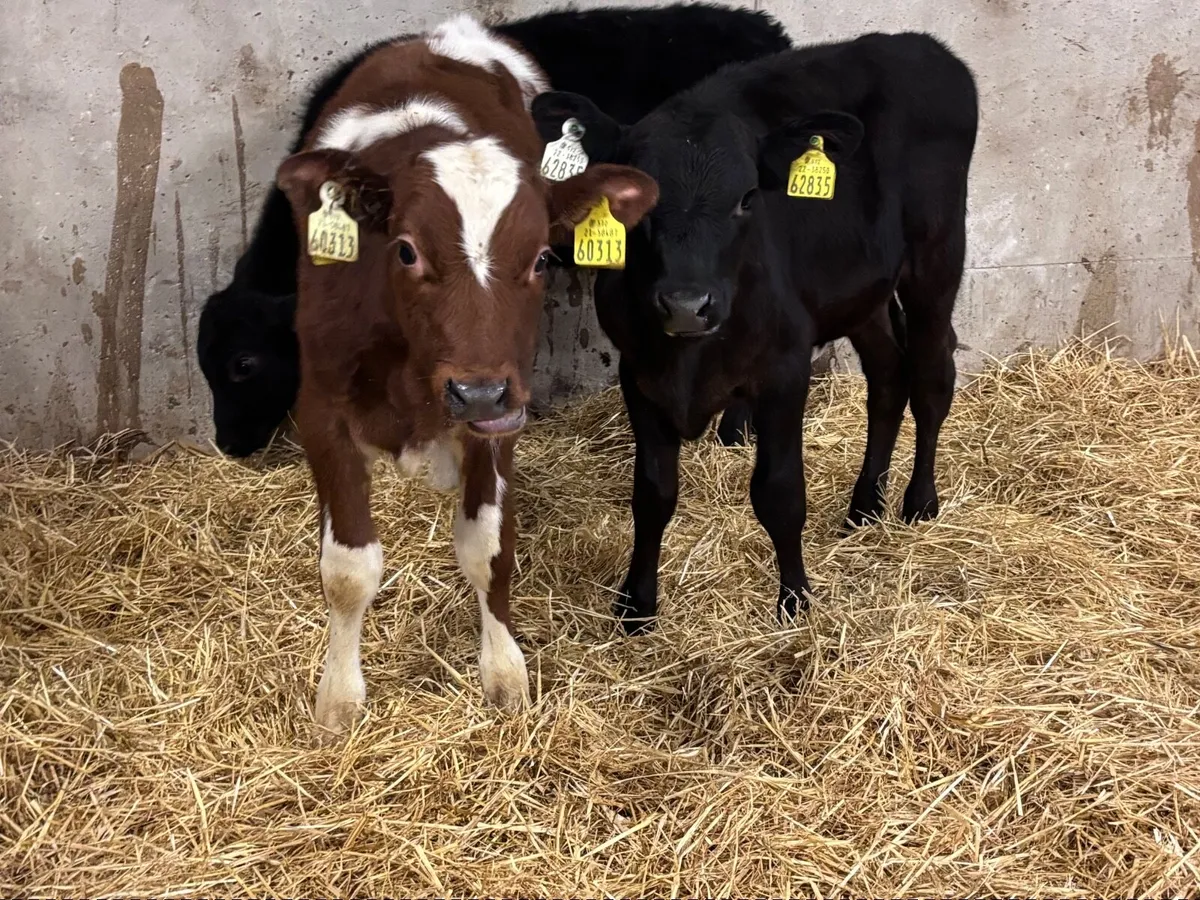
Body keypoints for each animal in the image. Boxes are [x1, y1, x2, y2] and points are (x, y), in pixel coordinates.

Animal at [274, 13, 657, 737]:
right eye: (405, 250)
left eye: (542, 258)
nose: (474, 390)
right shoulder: (321, 411)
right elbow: (347, 568)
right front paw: (339, 697)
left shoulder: (502, 412)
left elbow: (487, 547)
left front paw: (504, 673)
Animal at [531, 33, 978, 634]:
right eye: (636, 202)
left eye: (747, 198)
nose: (687, 304)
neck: (691, 360)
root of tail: (920, 44)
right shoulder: (638, 373)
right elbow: (652, 494)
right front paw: (636, 605)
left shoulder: (784, 370)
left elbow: (779, 493)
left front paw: (795, 601)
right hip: (861, 292)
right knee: (888, 377)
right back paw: (865, 505)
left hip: (936, 257)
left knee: (932, 376)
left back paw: (919, 502)